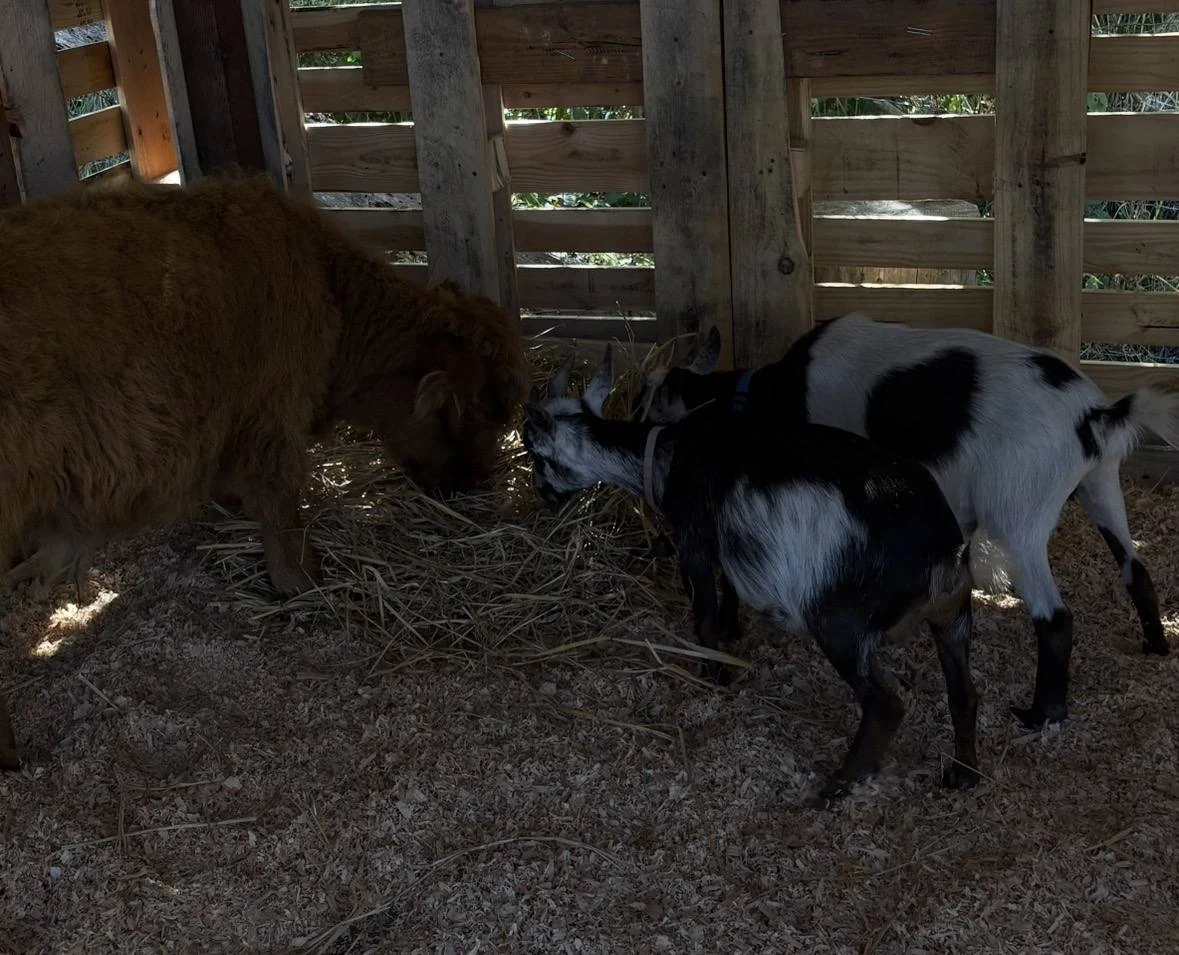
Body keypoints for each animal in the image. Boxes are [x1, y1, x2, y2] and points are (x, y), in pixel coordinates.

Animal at [0, 173, 529, 768]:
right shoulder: (271, 415)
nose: (476, 481)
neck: (329, 289)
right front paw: (303, 583)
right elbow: (280, 507)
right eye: (483, 410)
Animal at [523, 346, 981, 804]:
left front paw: (714, 674)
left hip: (841, 623)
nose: (542, 495)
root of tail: (943, 552)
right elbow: (729, 588)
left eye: (535, 454)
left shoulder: (694, 540)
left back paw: (837, 785)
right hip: (953, 618)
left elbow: (703, 614)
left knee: (885, 705)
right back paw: (963, 774)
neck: (666, 456)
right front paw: (733, 632)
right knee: (964, 694)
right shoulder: (730, 543)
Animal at [635, 312, 1179, 730]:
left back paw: (1040, 714)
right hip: (1101, 487)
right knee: (1136, 570)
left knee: (1056, 618)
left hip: (1019, 519)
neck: (774, 390)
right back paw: (1154, 645)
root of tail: (1095, 415)